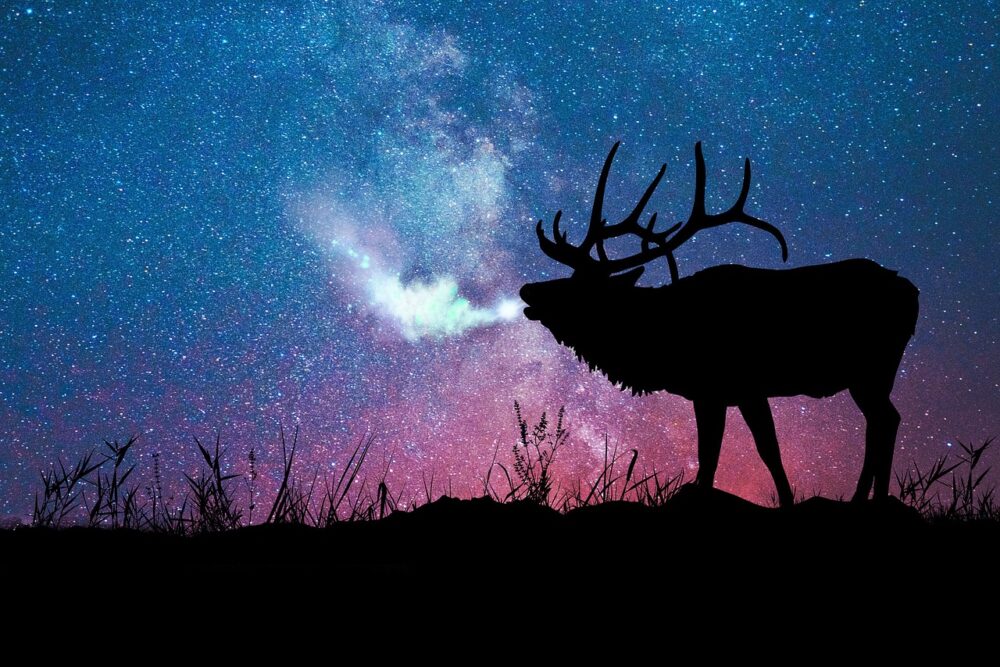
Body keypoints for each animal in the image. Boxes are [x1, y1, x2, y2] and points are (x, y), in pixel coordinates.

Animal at [519, 141, 919, 507]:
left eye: (580, 287)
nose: (527, 289)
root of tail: (913, 295)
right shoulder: (714, 392)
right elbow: (719, 453)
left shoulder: (738, 386)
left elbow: (753, 450)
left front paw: (785, 501)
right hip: (870, 375)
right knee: (884, 421)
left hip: (872, 369)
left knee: (884, 421)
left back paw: (867, 499)